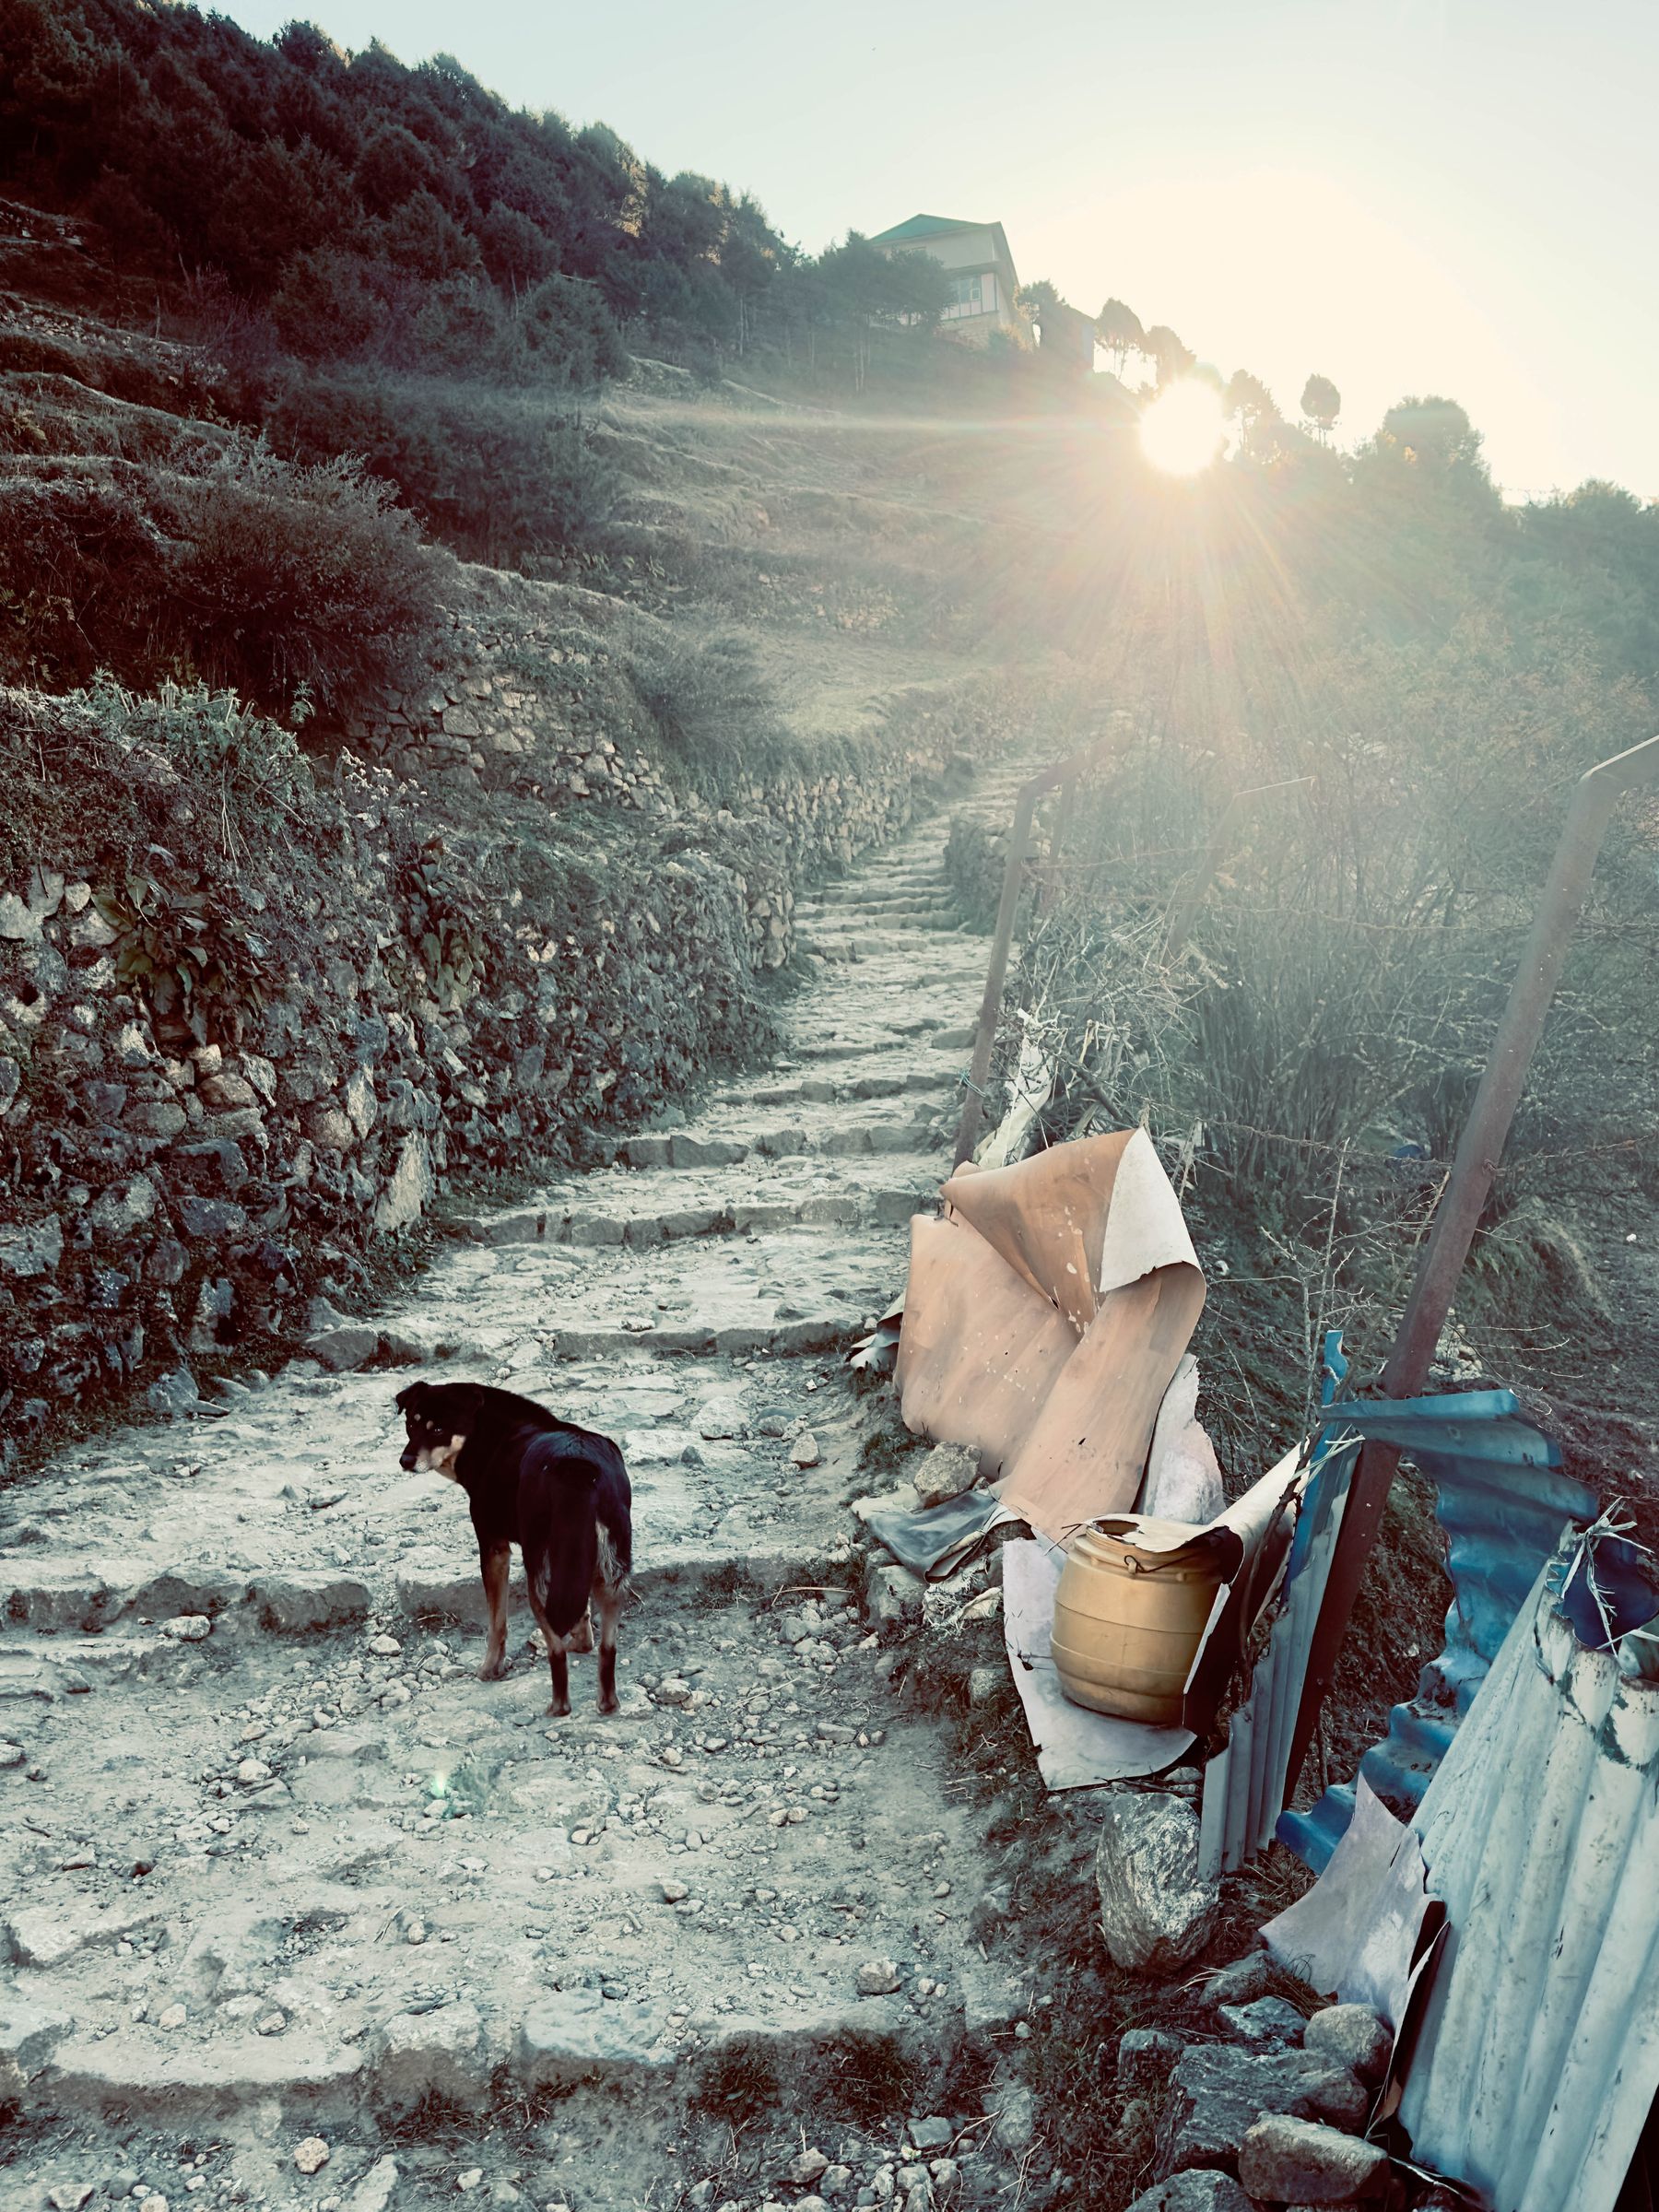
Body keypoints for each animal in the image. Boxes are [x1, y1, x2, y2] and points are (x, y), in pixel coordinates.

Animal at [400, 1380, 632, 1707]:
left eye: (438, 1429)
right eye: (410, 1424)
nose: (405, 1461)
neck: (486, 1434)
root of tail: (579, 1468)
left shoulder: (493, 1546)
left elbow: (497, 1621)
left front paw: (489, 1669)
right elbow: (581, 1607)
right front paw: (581, 1639)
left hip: (539, 1567)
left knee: (556, 1648)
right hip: (612, 1568)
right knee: (607, 1648)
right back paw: (606, 1702)